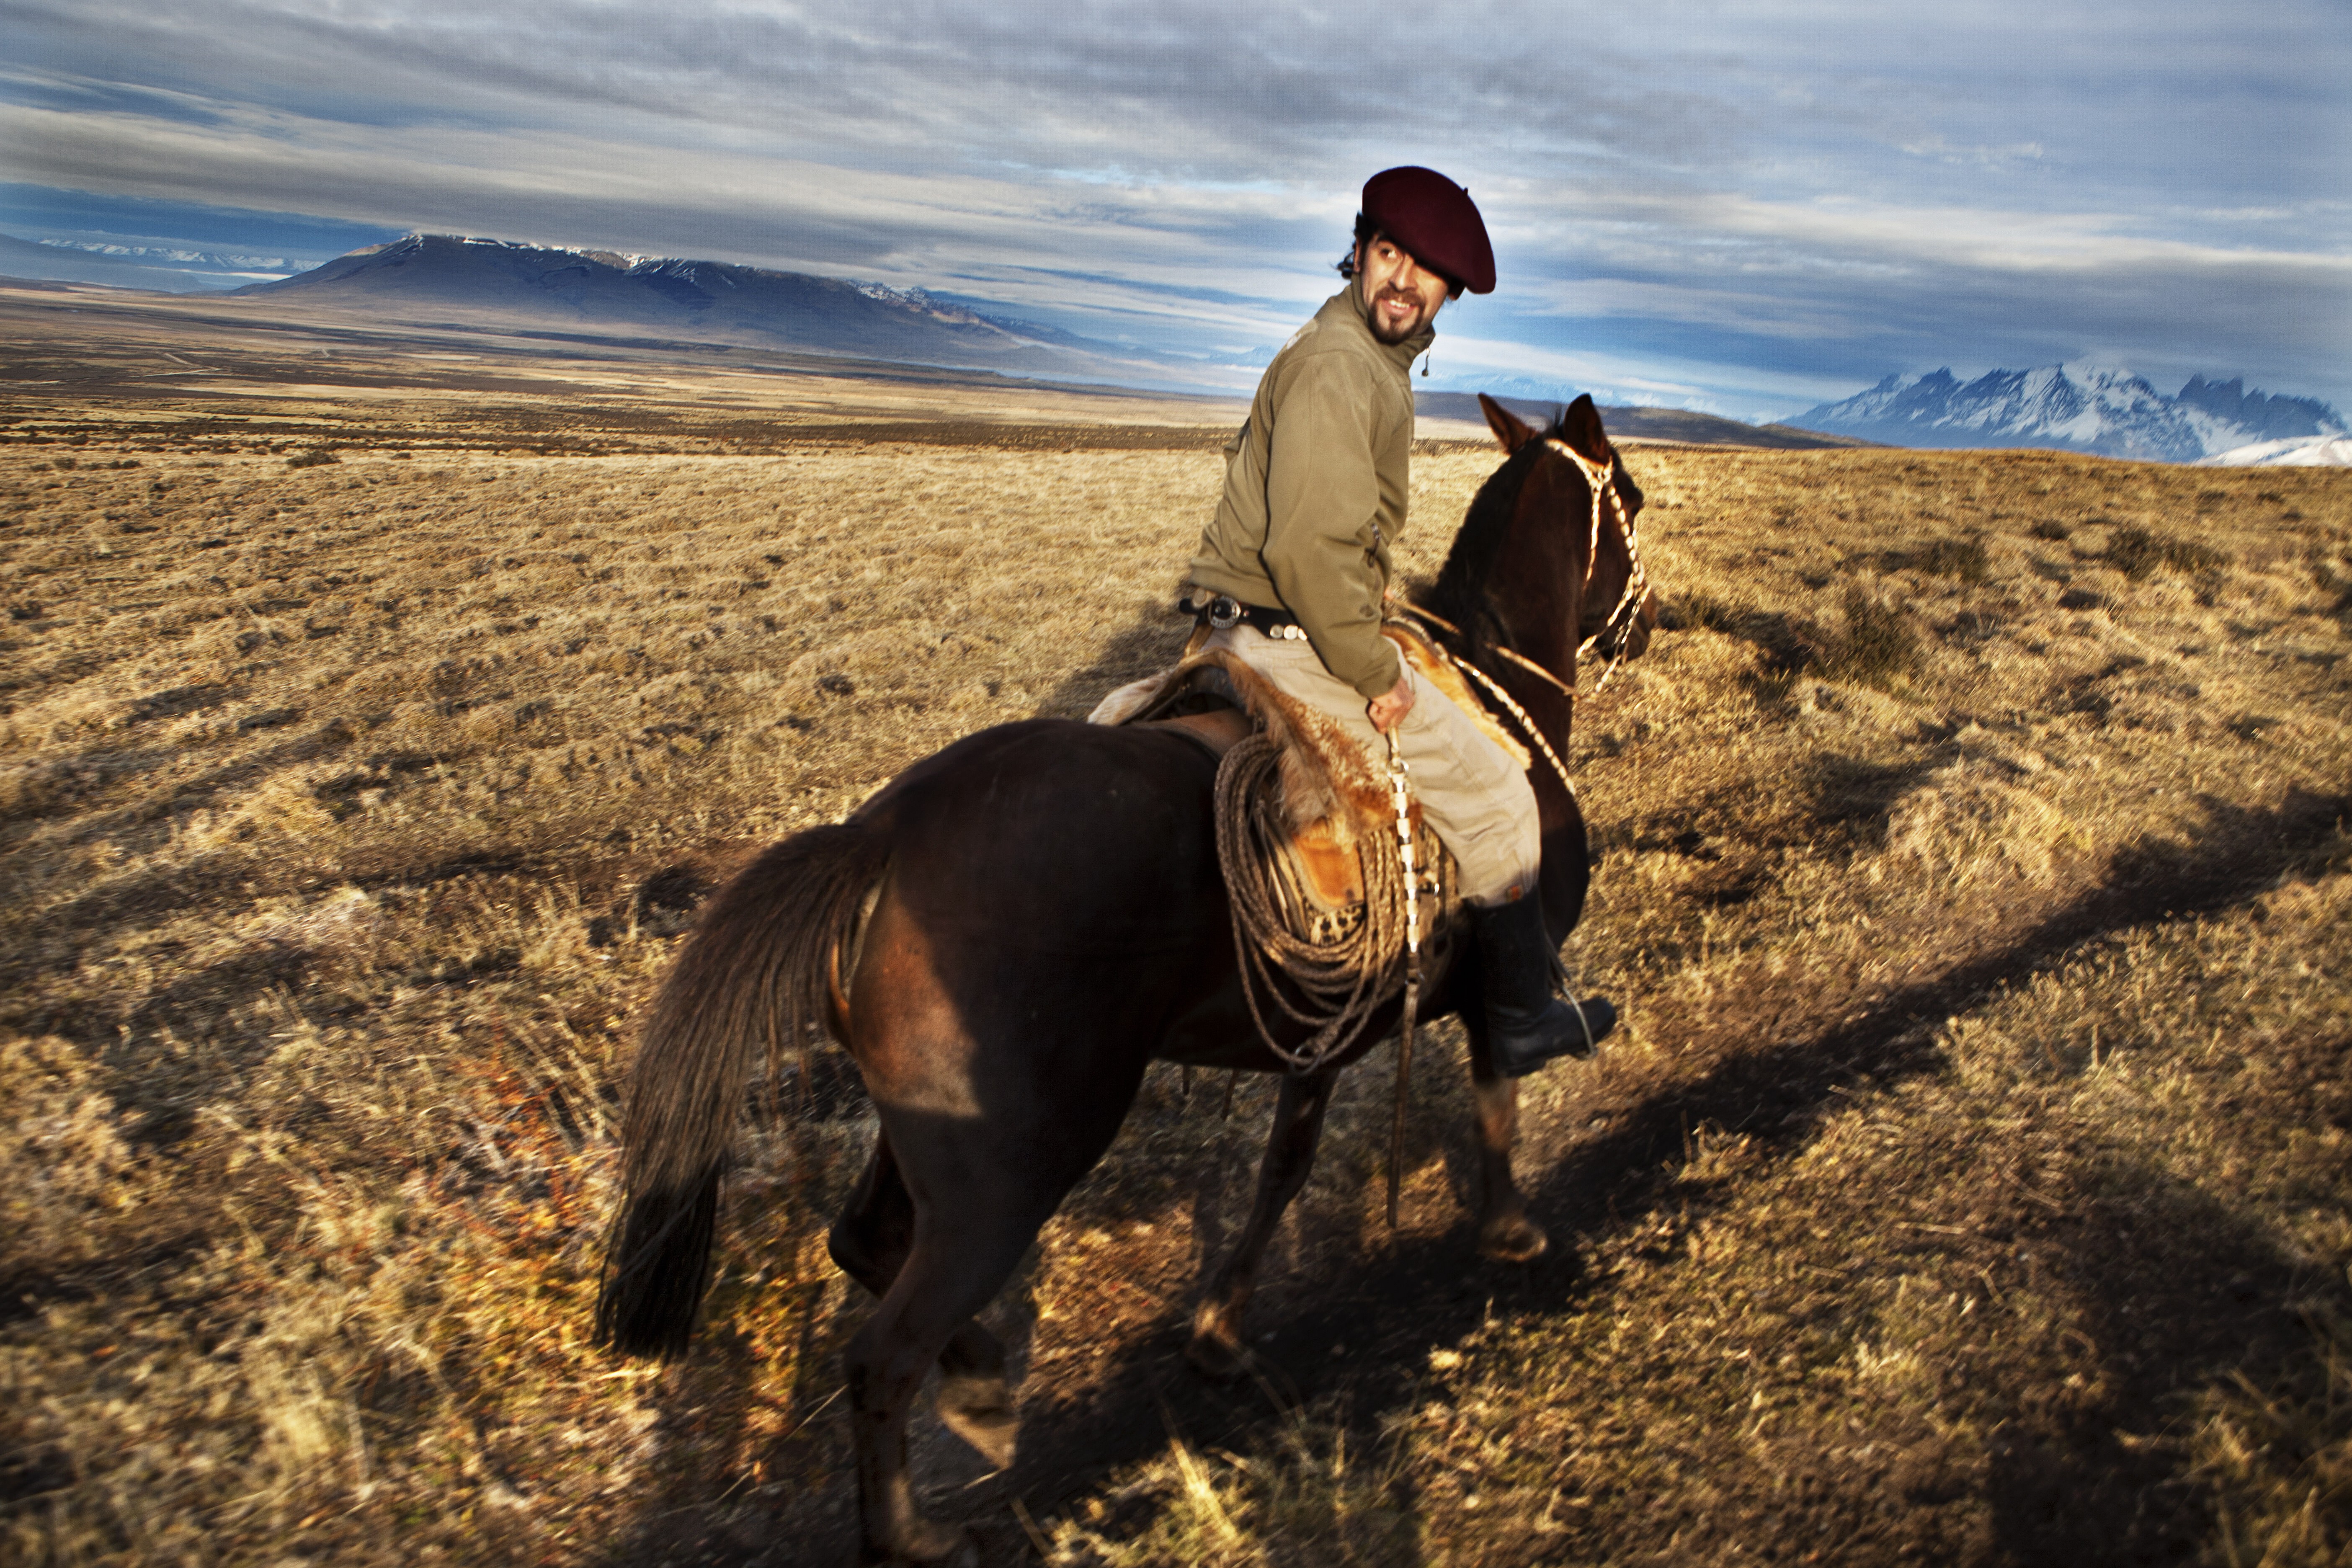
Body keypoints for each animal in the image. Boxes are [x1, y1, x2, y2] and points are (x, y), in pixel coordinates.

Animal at [593, 392, 1657, 1564]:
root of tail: (878, 837)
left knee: (860, 1240)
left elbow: (1285, 1168)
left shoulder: (1318, 1031)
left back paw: (981, 1380)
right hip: (1010, 1174)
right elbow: (1497, 1088)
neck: (1498, 689)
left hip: (929, 1141)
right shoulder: (1495, 970)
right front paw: (1513, 1227)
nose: (1645, 622)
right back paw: (915, 1525)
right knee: (880, 1353)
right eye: (1633, 498)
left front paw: (1222, 1330)